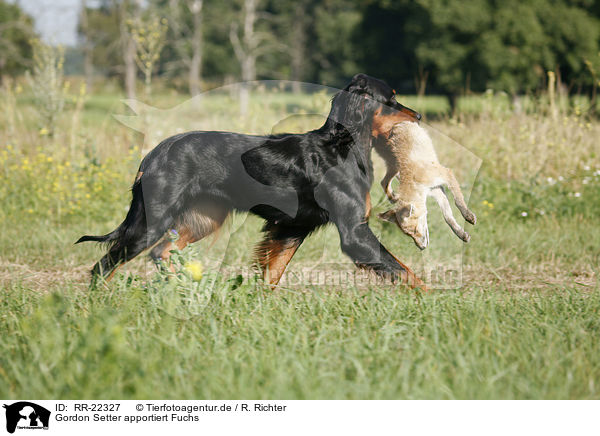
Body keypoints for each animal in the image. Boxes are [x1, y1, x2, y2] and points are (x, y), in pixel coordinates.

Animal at [77, 73, 426, 288]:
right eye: (391, 98)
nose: (420, 116)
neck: (341, 146)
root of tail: (153, 154)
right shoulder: (354, 233)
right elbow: (405, 272)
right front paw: (431, 304)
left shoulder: (292, 228)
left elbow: (272, 274)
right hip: (152, 220)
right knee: (105, 266)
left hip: (205, 217)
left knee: (162, 252)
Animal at [372, 121, 476, 250]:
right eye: (408, 234)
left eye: (415, 230)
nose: (421, 248)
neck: (418, 185)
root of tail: (397, 125)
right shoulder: (436, 191)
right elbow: (448, 217)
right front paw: (462, 234)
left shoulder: (445, 176)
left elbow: (457, 203)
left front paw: (467, 217)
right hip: (395, 168)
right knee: (384, 182)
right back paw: (393, 198)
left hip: (396, 169)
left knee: (384, 181)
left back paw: (394, 197)